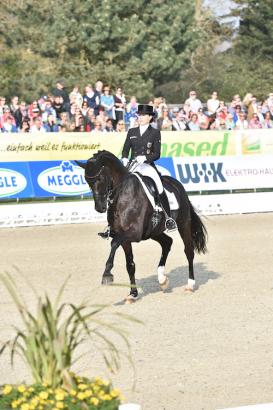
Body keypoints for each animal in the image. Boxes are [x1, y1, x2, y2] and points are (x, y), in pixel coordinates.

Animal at [75, 150, 205, 302]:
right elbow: (130, 265)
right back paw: (162, 279)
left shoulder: (133, 233)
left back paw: (190, 285)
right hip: (154, 231)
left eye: (100, 178)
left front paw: (107, 274)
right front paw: (133, 294)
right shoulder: (124, 238)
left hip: (183, 224)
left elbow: (113, 244)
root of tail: (178, 185)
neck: (122, 195)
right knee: (167, 242)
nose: (99, 208)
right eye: (87, 181)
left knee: (188, 251)